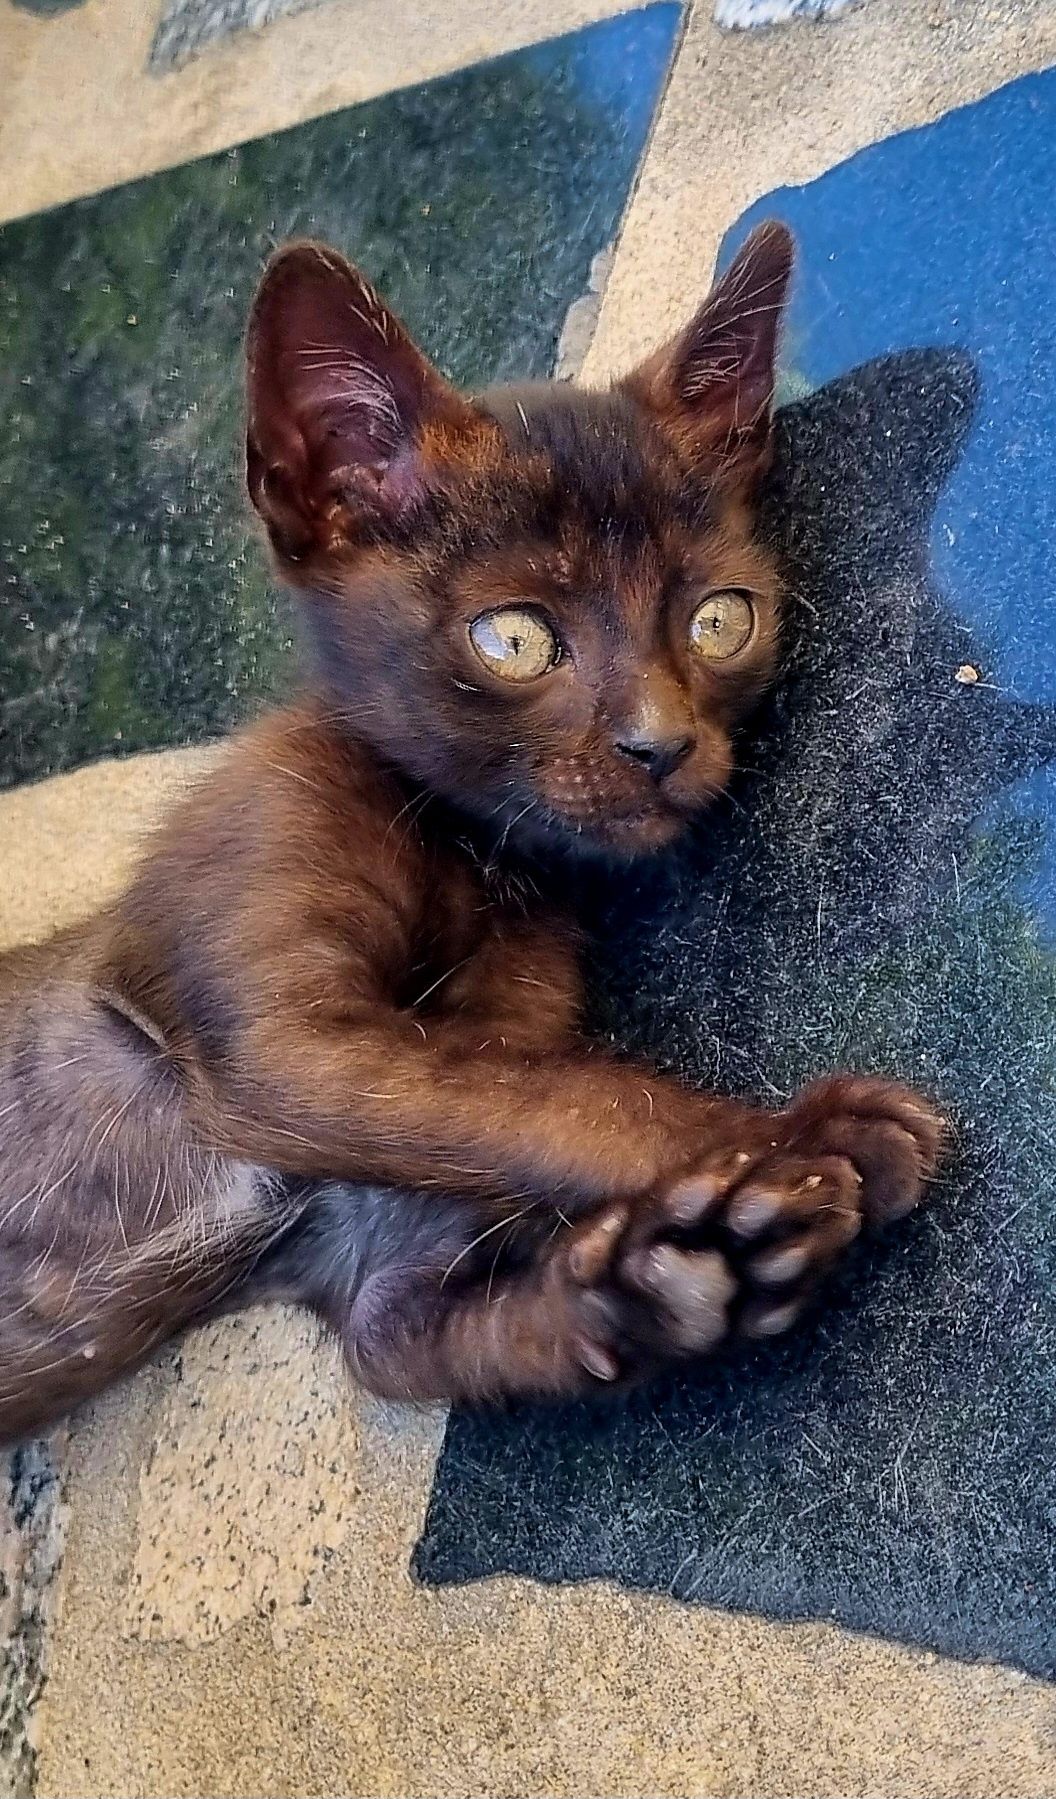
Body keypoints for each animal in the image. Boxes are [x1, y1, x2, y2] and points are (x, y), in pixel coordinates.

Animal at [0, 221, 942, 1432]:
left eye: (720, 620)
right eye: (514, 640)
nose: (662, 742)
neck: (475, 861)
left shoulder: (383, 1251)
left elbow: (418, 1317)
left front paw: (686, 1274)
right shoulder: (287, 1038)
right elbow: (570, 1095)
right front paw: (798, 1138)